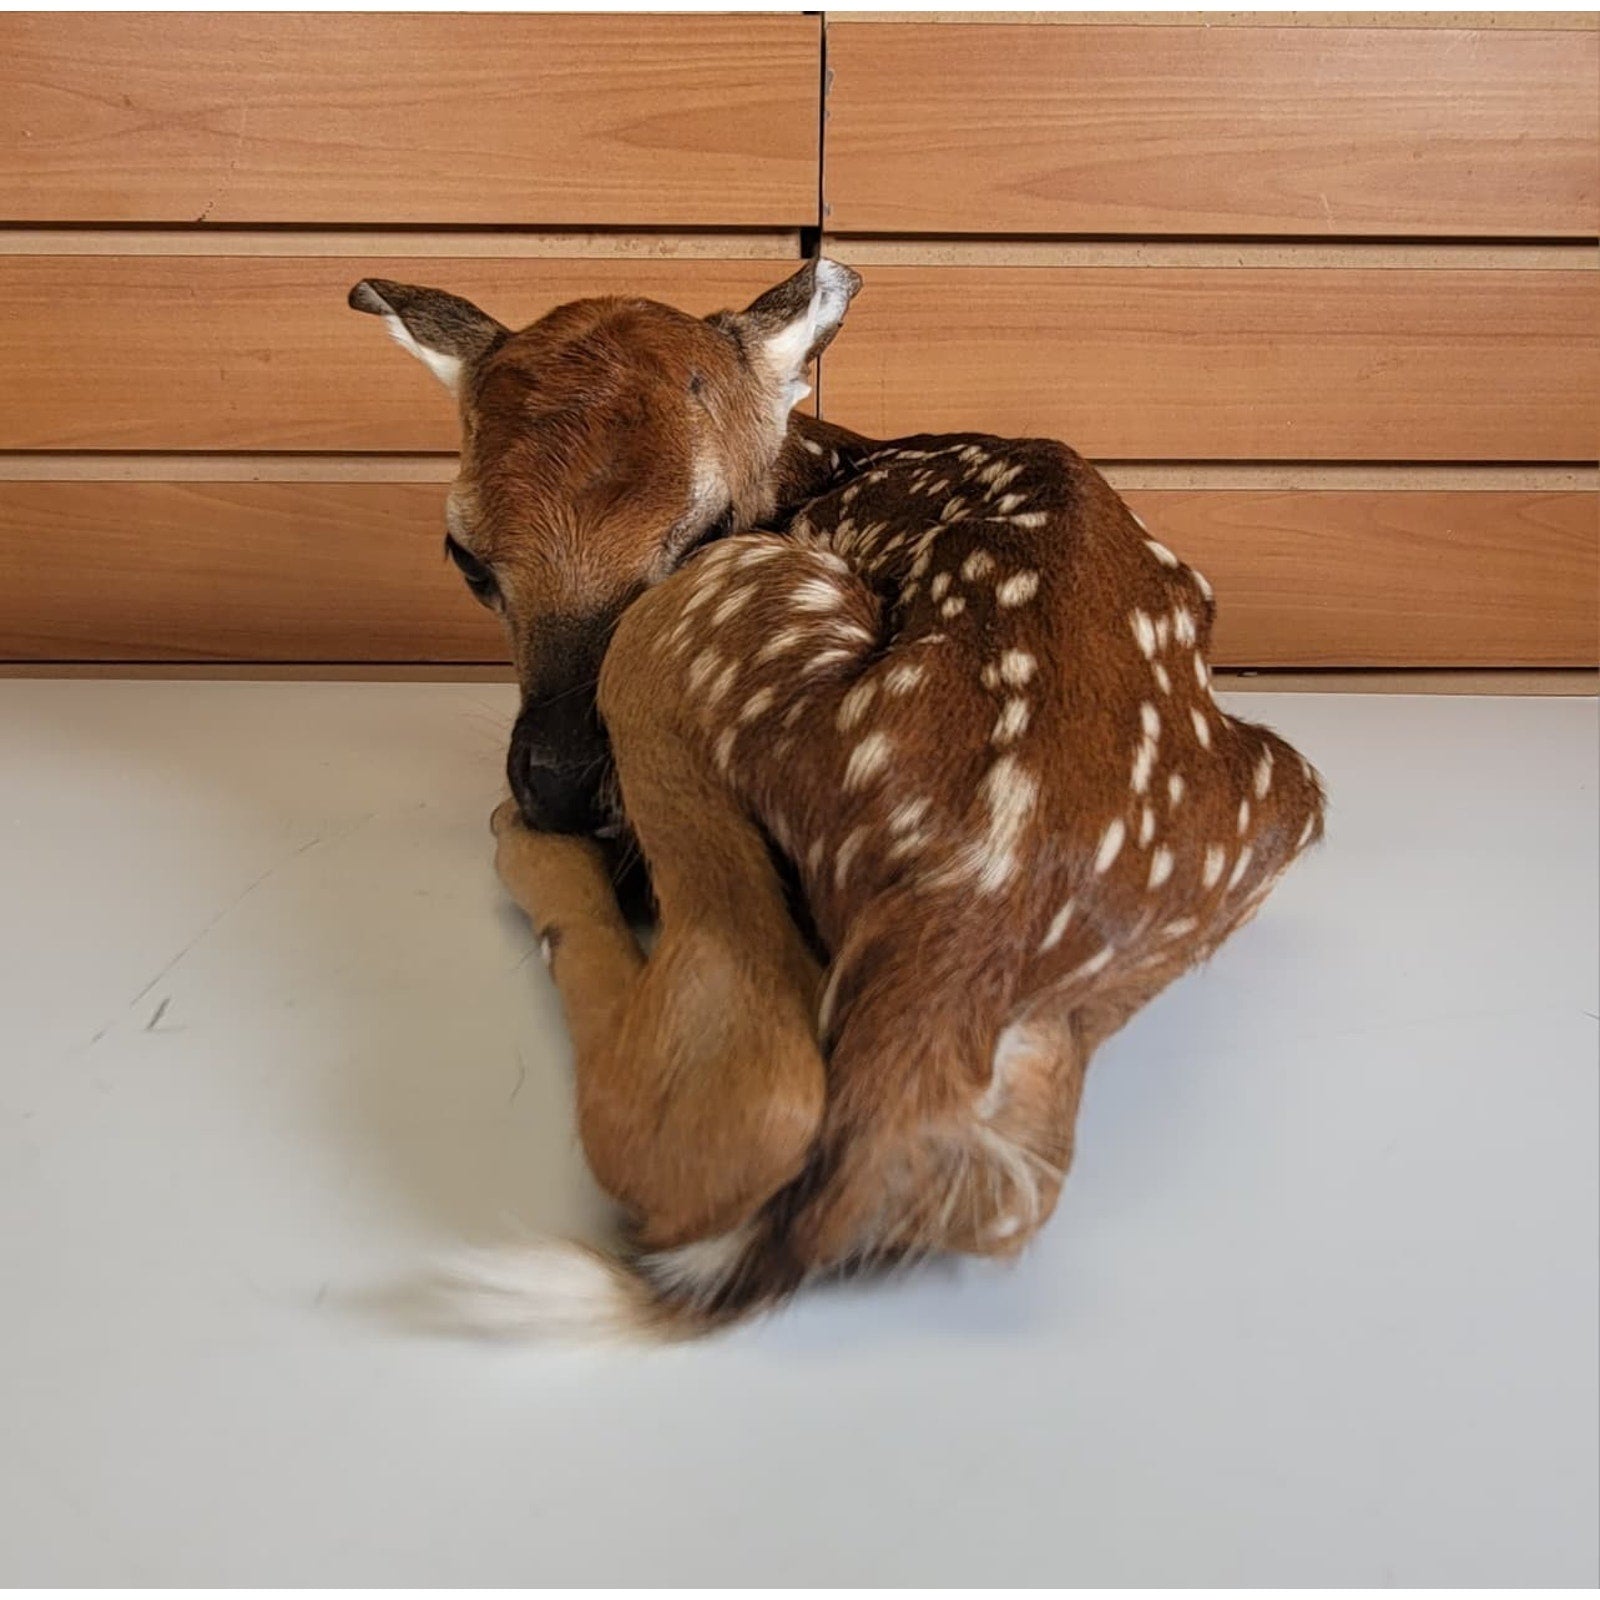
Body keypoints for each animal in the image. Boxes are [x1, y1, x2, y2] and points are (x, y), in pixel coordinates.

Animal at [348, 259, 1326, 1341]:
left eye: (704, 522)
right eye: (465, 558)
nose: (554, 782)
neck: (813, 463)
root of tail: (975, 908)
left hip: (717, 611)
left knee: (739, 1103)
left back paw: (535, 857)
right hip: (1276, 803)